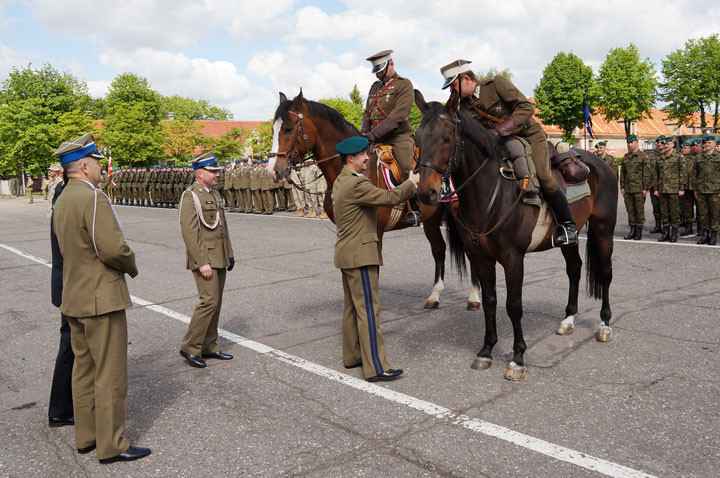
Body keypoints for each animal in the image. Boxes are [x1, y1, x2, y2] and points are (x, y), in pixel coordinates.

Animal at [268, 91, 480, 310]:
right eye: (273, 129)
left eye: (288, 128)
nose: (273, 170)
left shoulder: (375, 232)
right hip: (431, 219)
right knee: (439, 250)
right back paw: (435, 295)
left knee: (471, 251)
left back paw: (474, 297)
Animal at [414, 90, 616, 380]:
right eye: (417, 138)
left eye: (446, 138)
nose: (425, 193)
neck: (491, 190)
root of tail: (599, 162)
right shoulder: (480, 257)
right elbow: (489, 301)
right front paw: (486, 351)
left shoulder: (513, 258)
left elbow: (513, 305)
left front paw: (517, 358)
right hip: (569, 237)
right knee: (575, 269)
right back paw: (567, 320)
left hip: (603, 228)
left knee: (606, 273)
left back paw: (604, 324)